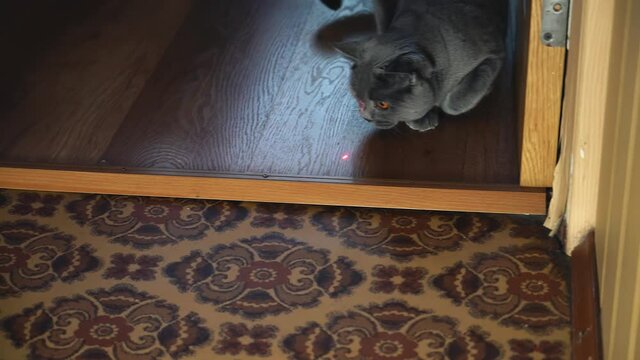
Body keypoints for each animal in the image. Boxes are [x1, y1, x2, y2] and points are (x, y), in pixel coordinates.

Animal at [330, 0, 504, 131]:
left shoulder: (493, 56)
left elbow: (453, 103)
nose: (366, 118)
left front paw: (485, 90)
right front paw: (421, 118)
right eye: (358, 100)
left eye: (383, 105)